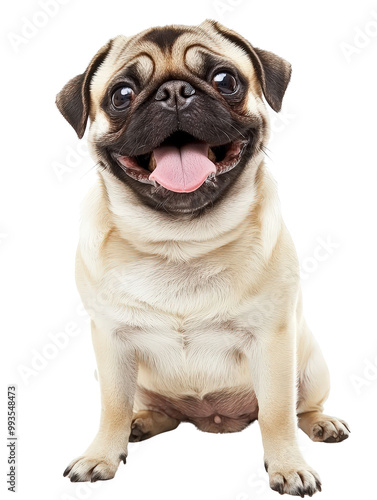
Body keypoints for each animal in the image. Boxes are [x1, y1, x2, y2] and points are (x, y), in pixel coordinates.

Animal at [56, 20, 350, 496]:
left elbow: (277, 414)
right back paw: (142, 422)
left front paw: (288, 466)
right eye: (121, 95)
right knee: (156, 411)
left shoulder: (273, 342)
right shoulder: (111, 341)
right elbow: (112, 406)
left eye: (225, 80)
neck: (180, 243)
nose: (175, 92)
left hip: (311, 366)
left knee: (300, 408)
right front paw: (101, 454)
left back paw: (322, 424)